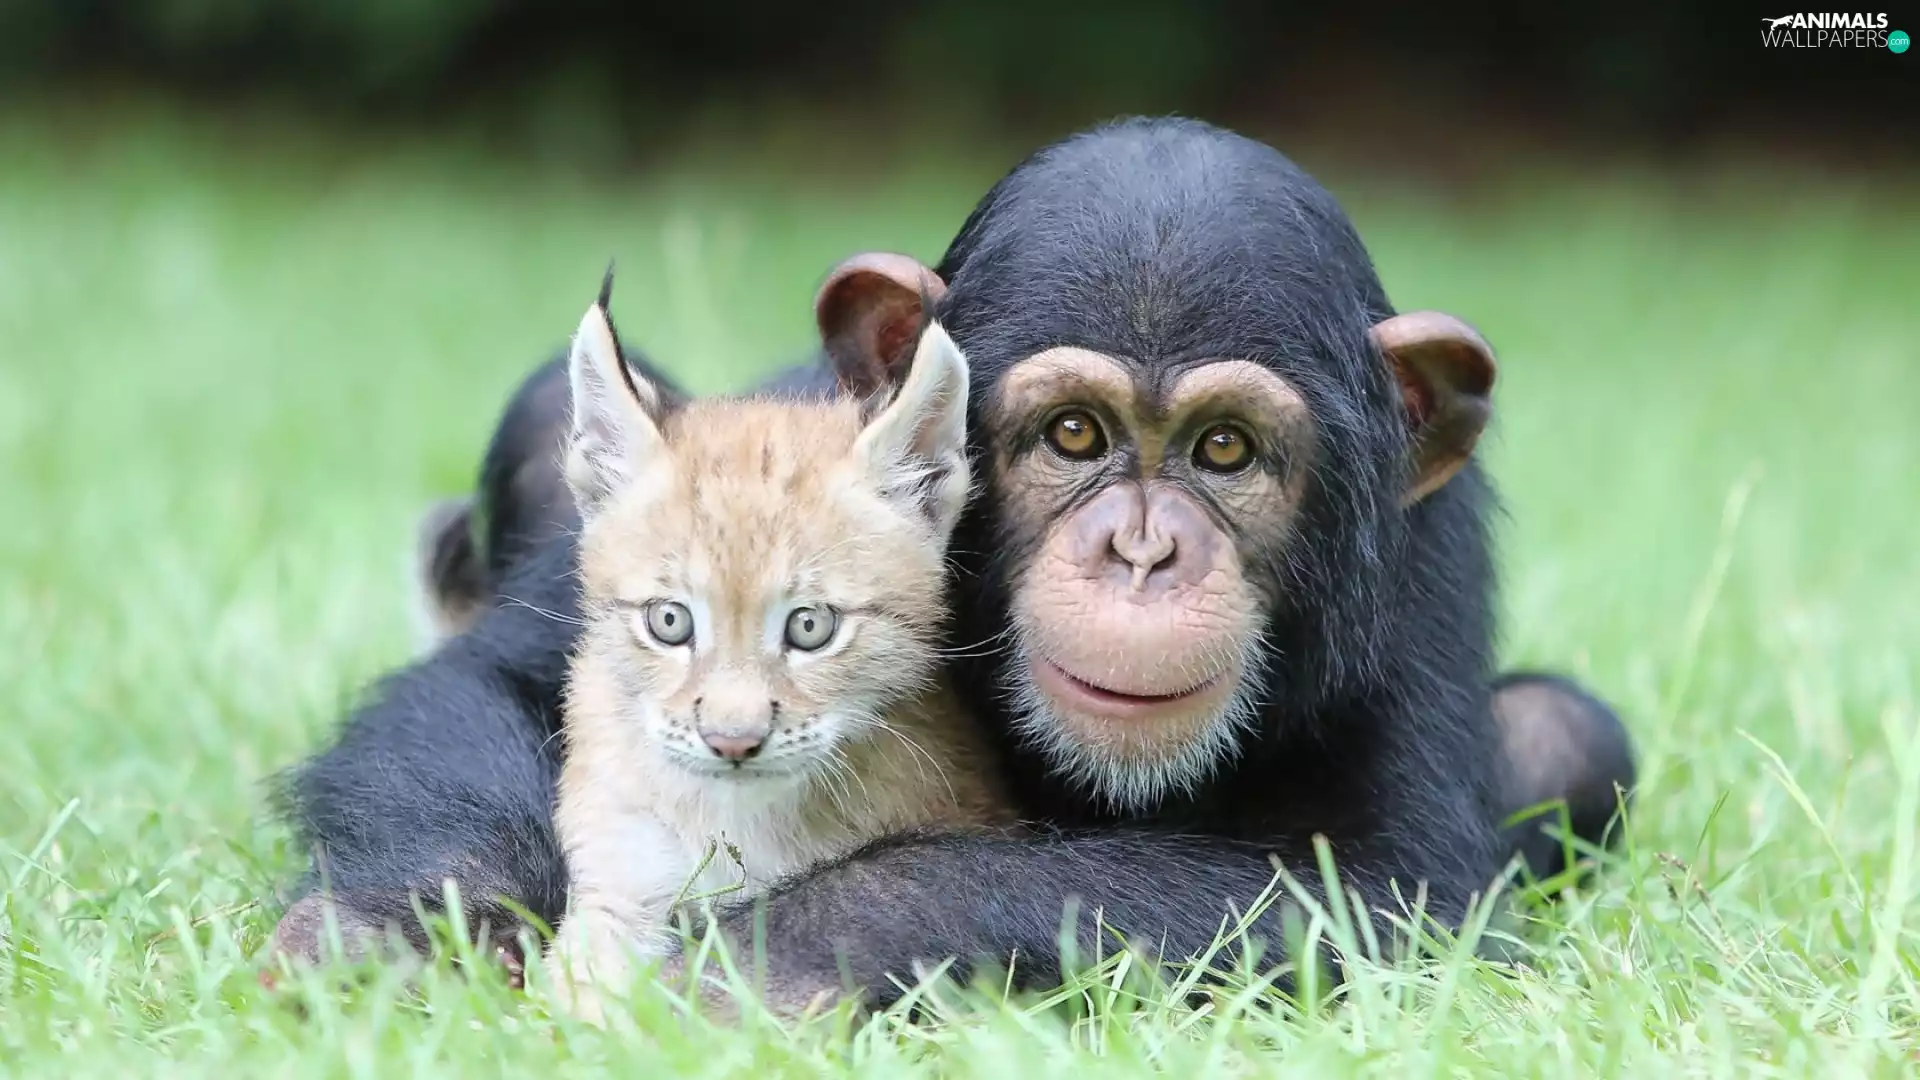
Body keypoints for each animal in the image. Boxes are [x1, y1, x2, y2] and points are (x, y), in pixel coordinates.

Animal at [271, 119, 1635, 1012]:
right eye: (1075, 435)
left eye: (1225, 449)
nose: (1143, 551)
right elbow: (485, 687)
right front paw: (392, 930)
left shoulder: (1415, 587)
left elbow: (1389, 900)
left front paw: (767, 958)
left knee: (1567, 733)